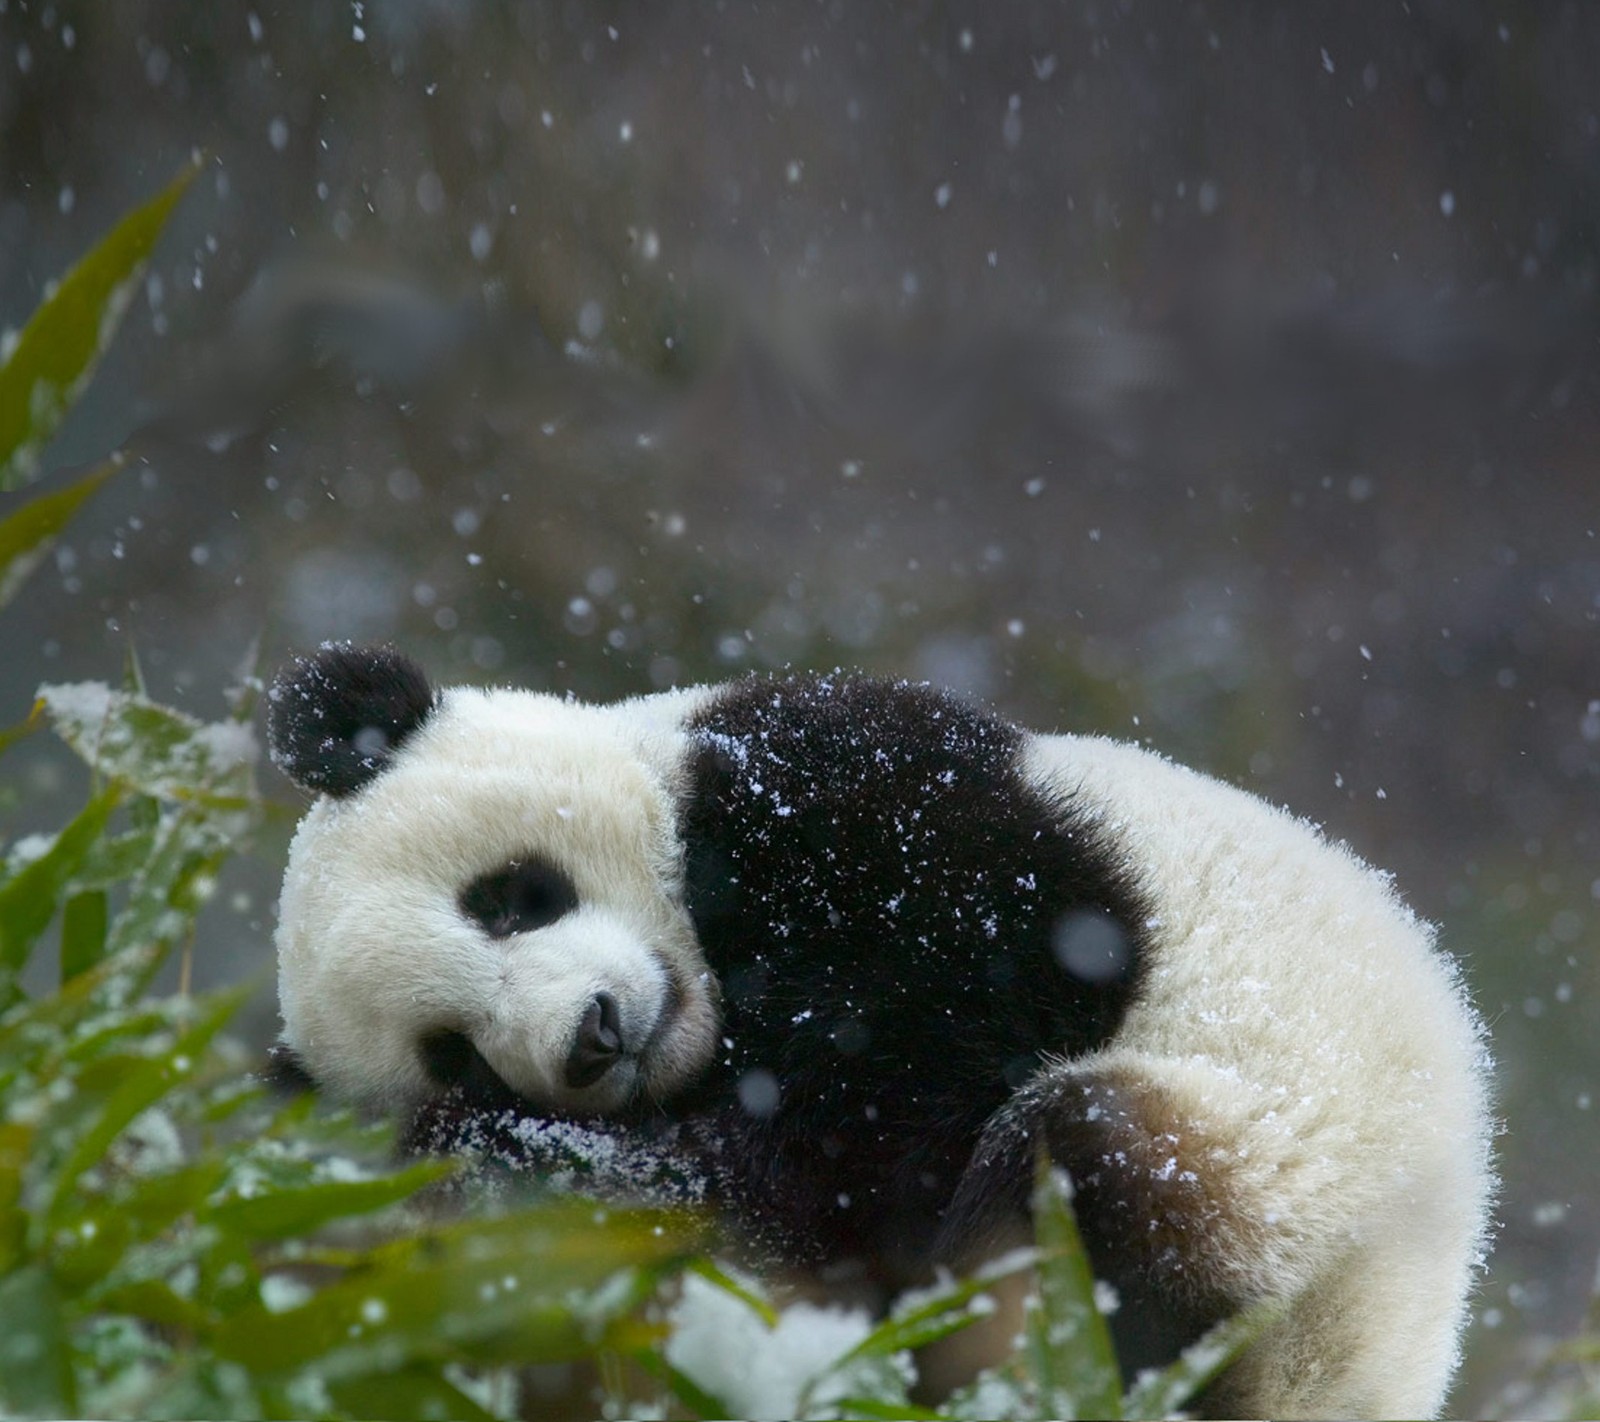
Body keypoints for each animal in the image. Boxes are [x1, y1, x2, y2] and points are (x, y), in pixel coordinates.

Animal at [265, 639, 1497, 1407]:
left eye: (512, 897)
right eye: (454, 1052)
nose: (593, 1038)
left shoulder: (845, 787)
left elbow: (966, 1004)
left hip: (1288, 1167)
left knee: (1094, 1172)